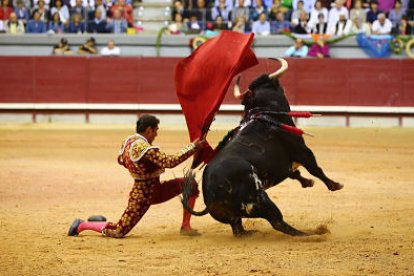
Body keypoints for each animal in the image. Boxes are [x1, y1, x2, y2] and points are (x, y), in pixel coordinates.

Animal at [182, 58, 342, 237]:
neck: (264, 112)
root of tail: (212, 193)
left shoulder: (284, 164)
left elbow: (295, 173)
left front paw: (308, 182)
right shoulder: (302, 151)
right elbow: (315, 169)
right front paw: (334, 185)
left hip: (233, 216)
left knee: (238, 229)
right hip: (260, 199)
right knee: (278, 222)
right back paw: (311, 234)